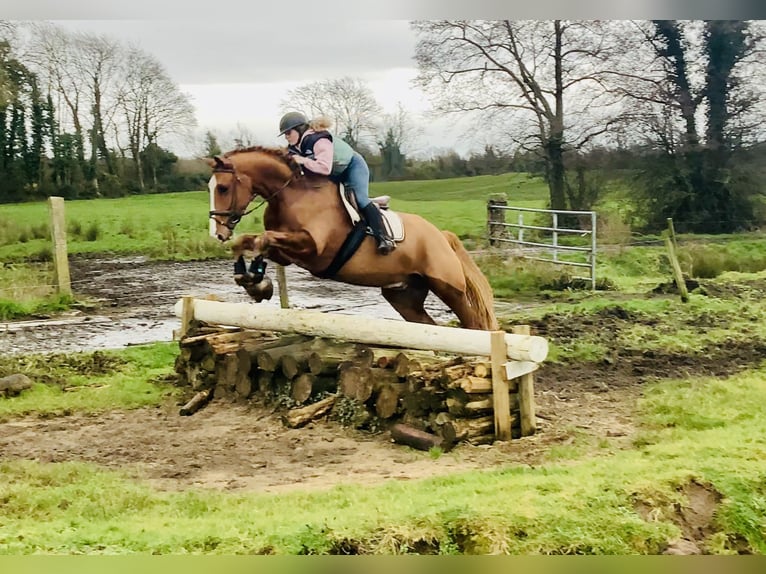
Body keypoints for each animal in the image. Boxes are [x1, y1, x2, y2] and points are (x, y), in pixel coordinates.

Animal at [206, 146, 498, 331]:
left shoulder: (313, 249)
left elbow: (263, 239)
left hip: (448, 286)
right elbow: (251, 242)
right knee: (428, 327)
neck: (291, 194)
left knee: (474, 324)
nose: (217, 232)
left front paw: (256, 281)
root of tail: (441, 235)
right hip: (404, 296)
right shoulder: (288, 253)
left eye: (223, 188)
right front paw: (253, 281)